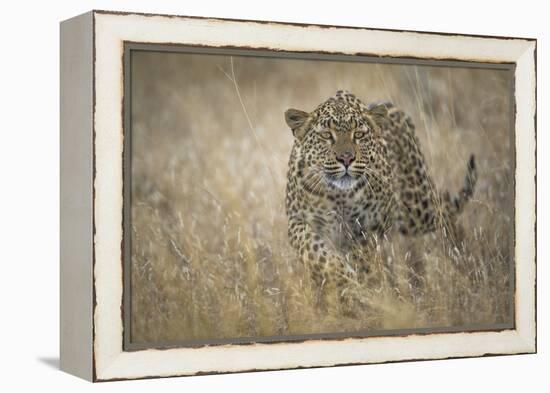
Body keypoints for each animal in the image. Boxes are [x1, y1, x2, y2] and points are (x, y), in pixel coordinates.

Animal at [284, 89, 478, 298]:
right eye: (327, 135)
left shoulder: (370, 226)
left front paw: (361, 285)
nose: (346, 158)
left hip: (418, 207)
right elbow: (315, 253)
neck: (339, 195)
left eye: (359, 134)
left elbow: (363, 258)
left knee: (445, 209)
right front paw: (344, 279)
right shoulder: (298, 221)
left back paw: (459, 249)